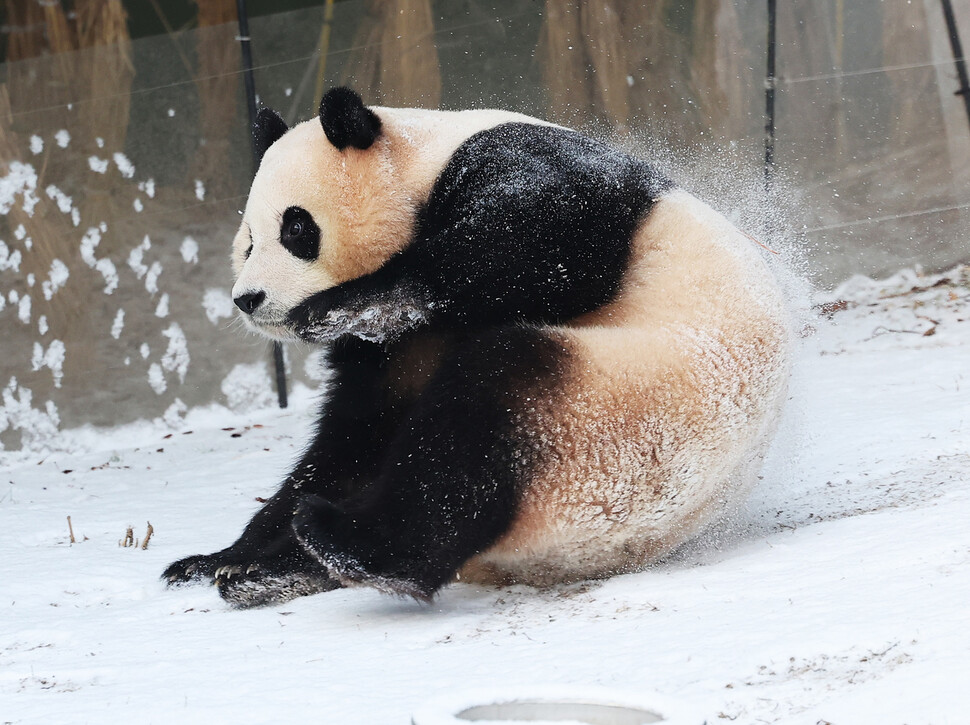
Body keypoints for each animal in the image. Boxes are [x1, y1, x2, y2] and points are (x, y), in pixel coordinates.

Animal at [163, 86, 792, 604]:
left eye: (296, 229)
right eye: (248, 241)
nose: (249, 299)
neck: (418, 162)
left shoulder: (526, 165)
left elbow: (542, 240)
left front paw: (331, 305)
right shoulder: (392, 351)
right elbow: (355, 439)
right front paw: (223, 560)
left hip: (622, 414)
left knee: (476, 422)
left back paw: (356, 545)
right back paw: (274, 570)